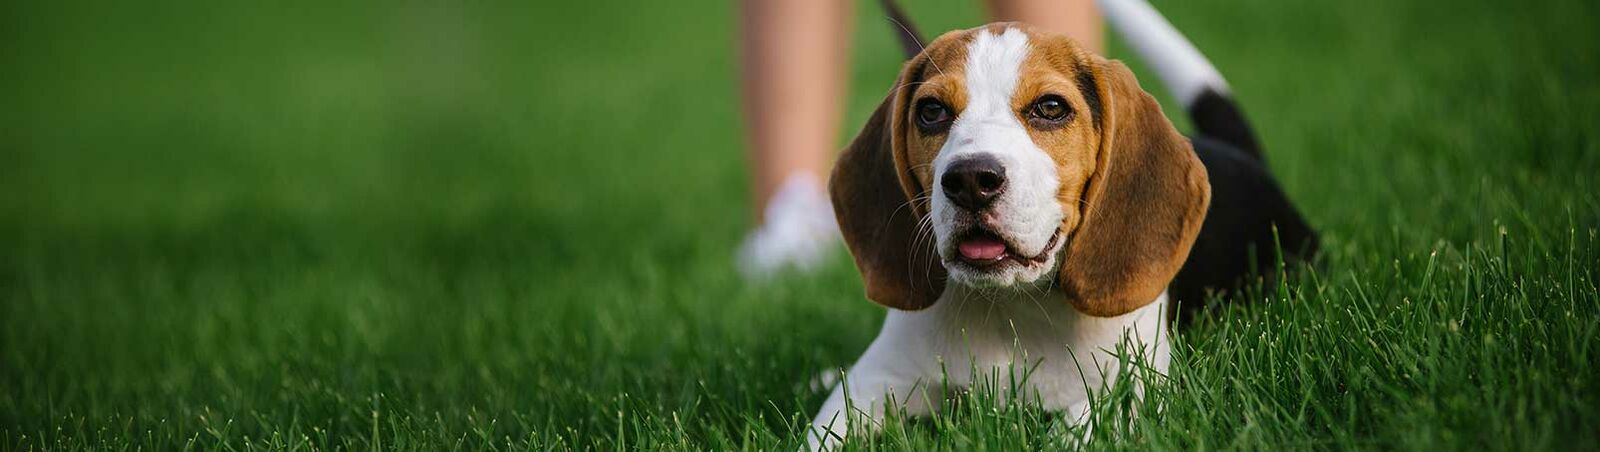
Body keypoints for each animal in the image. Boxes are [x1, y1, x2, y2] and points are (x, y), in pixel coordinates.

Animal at [806, 0, 1318, 448]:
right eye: (931, 111)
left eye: (1050, 108)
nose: (971, 180)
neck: (1014, 306)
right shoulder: (875, 383)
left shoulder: (1130, 385)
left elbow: (1074, 425)